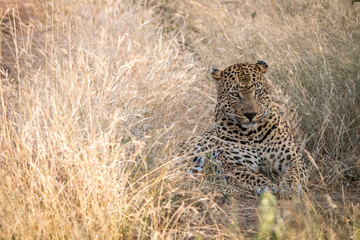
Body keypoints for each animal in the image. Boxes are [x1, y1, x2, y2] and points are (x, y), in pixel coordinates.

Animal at [180, 59, 312, 195]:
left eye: (258, 91)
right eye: (235, 94)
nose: (250, 114)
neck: (254, 133)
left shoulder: (293, 158)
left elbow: (294, 172)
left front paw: (290, 186)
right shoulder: (234, 166)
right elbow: (252, 175)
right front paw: (268, 186)